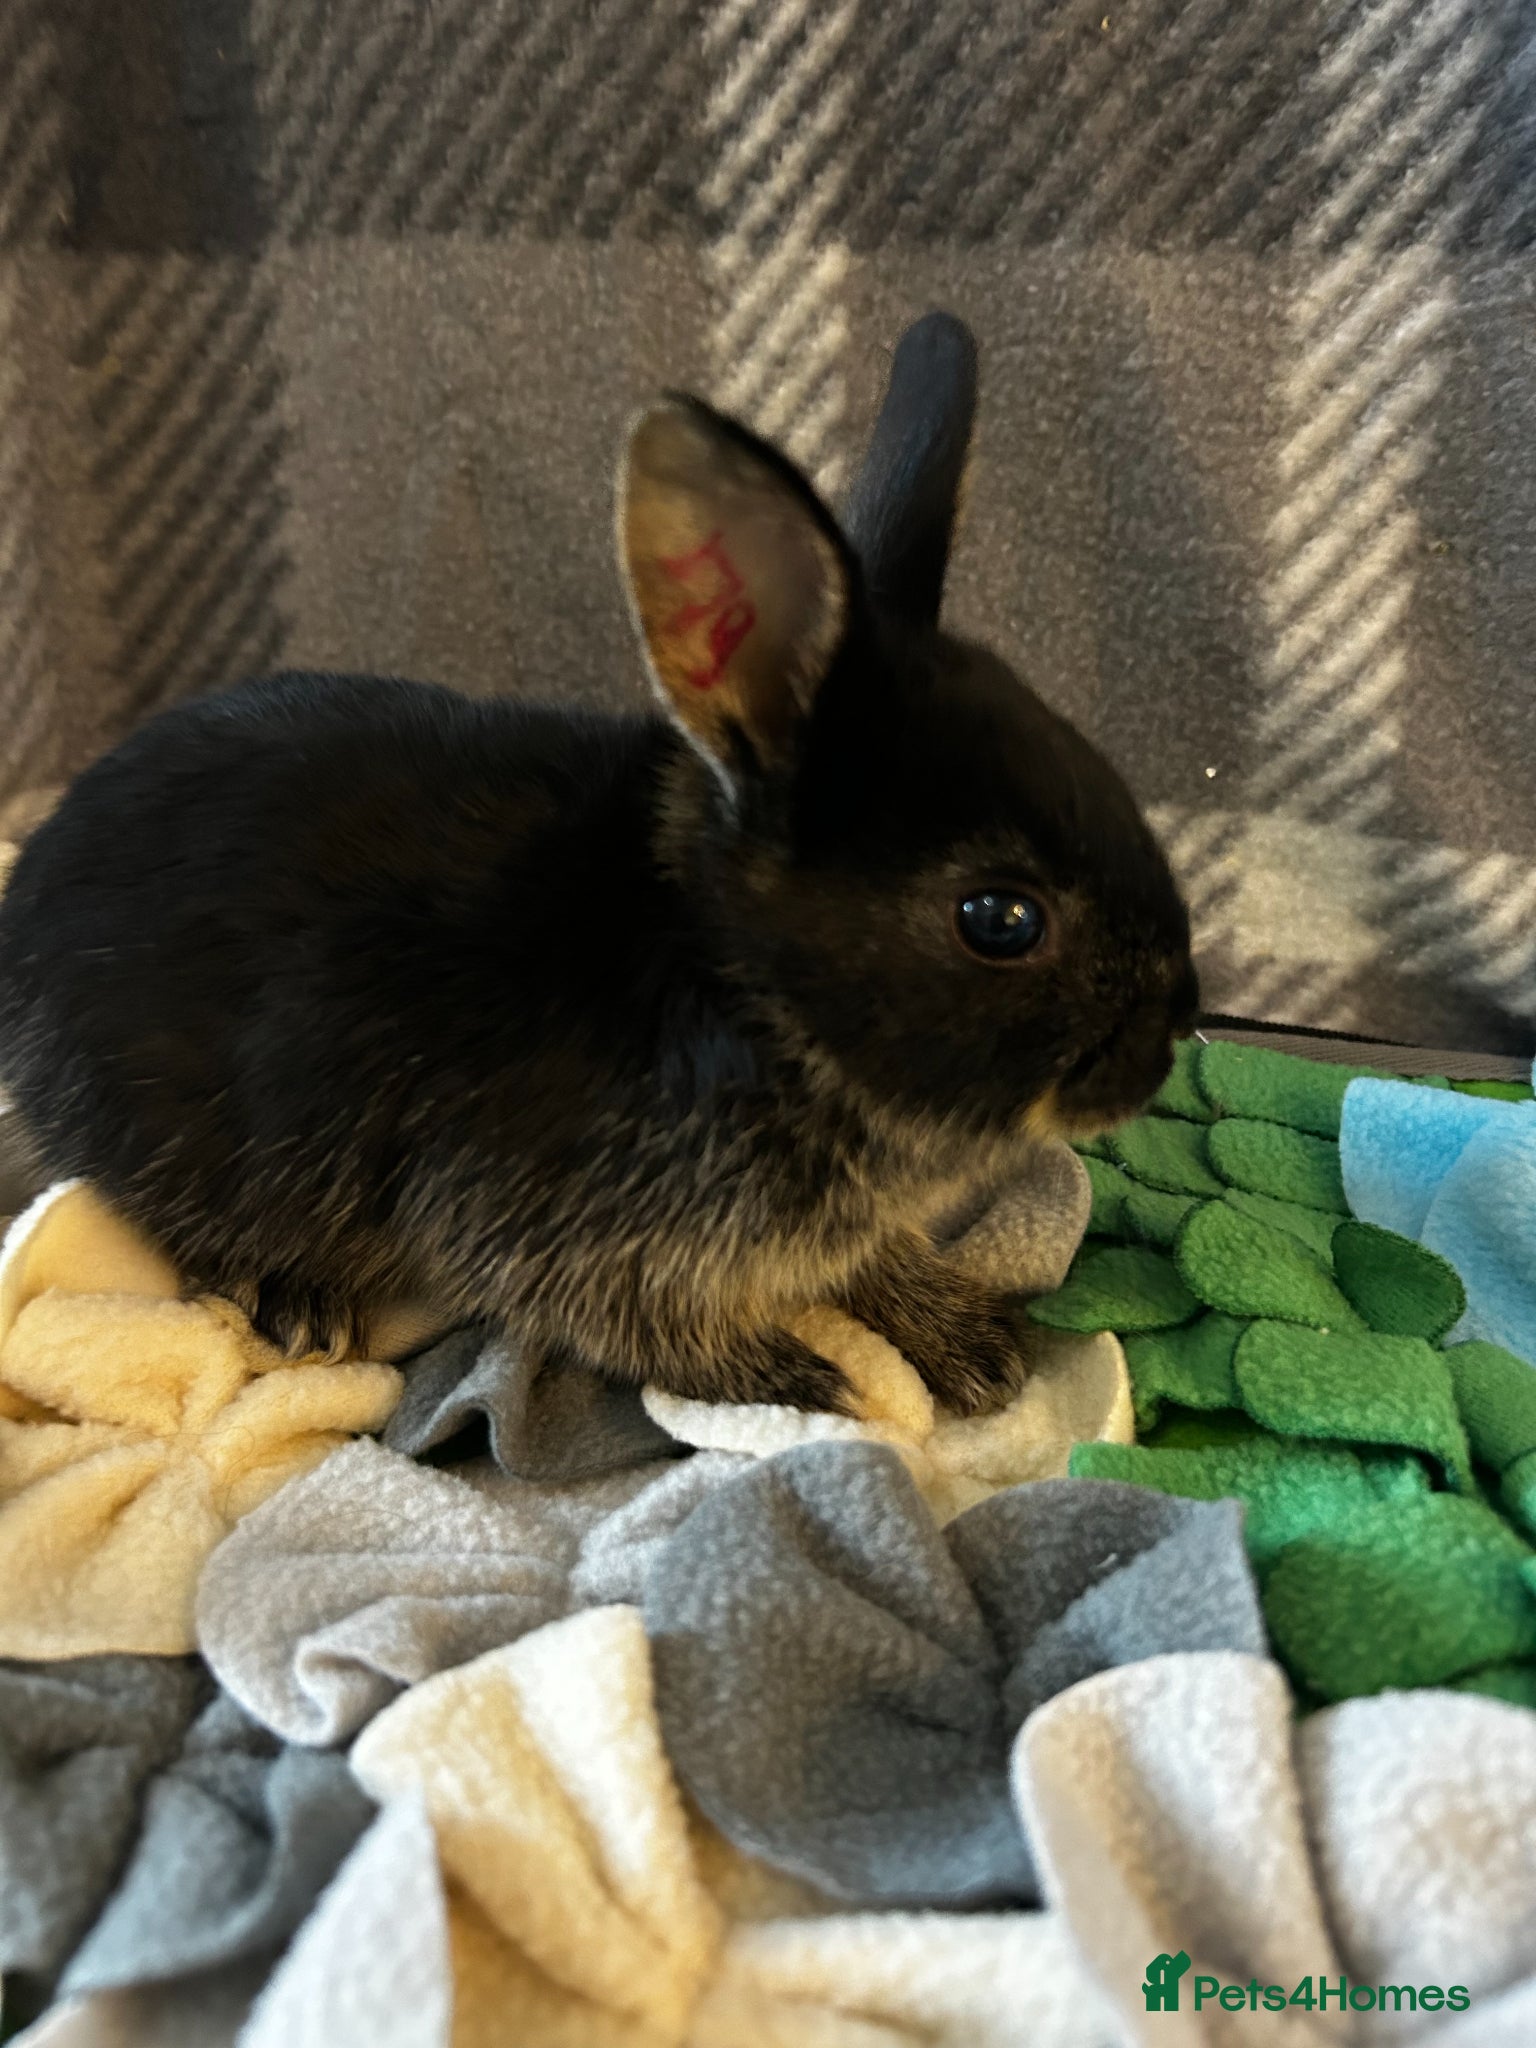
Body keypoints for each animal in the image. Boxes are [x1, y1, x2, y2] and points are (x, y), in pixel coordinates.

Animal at [0, 312, 1197, 1416]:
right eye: (1000, 918)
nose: (1174, 1031)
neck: (739, 989)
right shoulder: (542, 1233)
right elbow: (646, 1332)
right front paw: (806, 1382)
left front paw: (969, 1342)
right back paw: (293, 1298)